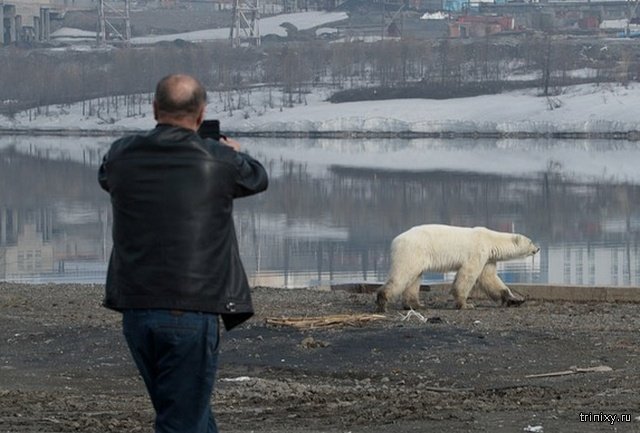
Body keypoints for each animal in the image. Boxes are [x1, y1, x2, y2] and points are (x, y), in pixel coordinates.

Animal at [375, 224, 540, 312]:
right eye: (531, 241)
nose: (538, 248)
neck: (491, 240)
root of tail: (395, 240)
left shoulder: (488, 258)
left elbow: (489, 278)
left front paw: (514, 299)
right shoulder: (477, 251)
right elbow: (468, 275)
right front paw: (466, 304)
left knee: (414, 279)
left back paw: (416, 304)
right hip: (412, 251)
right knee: (402, 275)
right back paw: (383, 302)